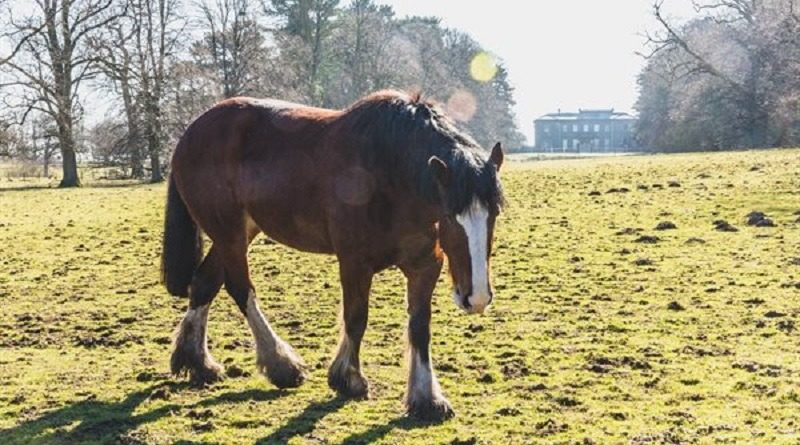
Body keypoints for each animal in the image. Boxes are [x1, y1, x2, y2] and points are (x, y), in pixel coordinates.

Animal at [159, 89, 504, 420]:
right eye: (449, 215)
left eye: (494, 213)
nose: (477, 298)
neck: (389, 171)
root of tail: (190, 134)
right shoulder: (354, 263)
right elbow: (356, 318)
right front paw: (348, 379)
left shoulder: (424, 266)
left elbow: (420, 326)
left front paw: (427, 398)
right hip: (228, 231)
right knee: (240, 288)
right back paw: (281, 364)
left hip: (240, 231)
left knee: (204, 283)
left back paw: (197, 362)